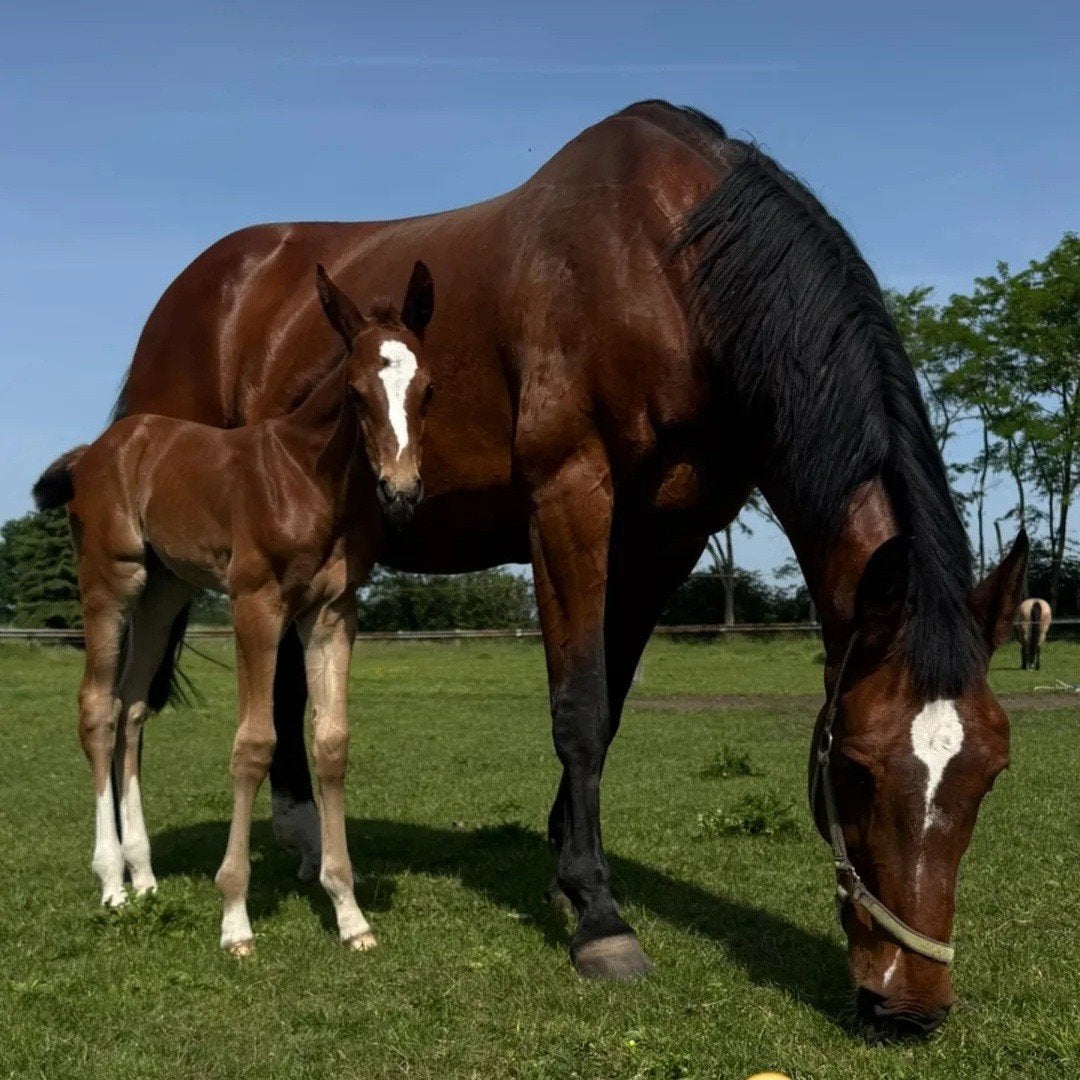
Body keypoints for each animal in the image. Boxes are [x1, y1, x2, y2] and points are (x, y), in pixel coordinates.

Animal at [33, 264, 435, 954]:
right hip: (112, 582)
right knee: (96, 709)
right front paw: (235, 917)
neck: (306, 478)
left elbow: (331, 743)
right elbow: (255, 744)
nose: (401, 491)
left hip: (165, 592)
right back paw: (111, 881)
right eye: (356, 391)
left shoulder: (332, 614)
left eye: (427, 389)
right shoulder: (256, 606)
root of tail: (97, 449)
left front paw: (349, 911)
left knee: (130, 707)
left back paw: (144, 875)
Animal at [102, 100, 1026, 1036]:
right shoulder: (570, 496)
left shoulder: (667, 536)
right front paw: (598, 917)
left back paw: (294, 841)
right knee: (119, 700)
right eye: (858, 768)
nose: (908, 1004)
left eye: (991, 772)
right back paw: (126, 875)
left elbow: (608, 706)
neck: (664, 265)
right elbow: (578, 707)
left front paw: (565, 871)